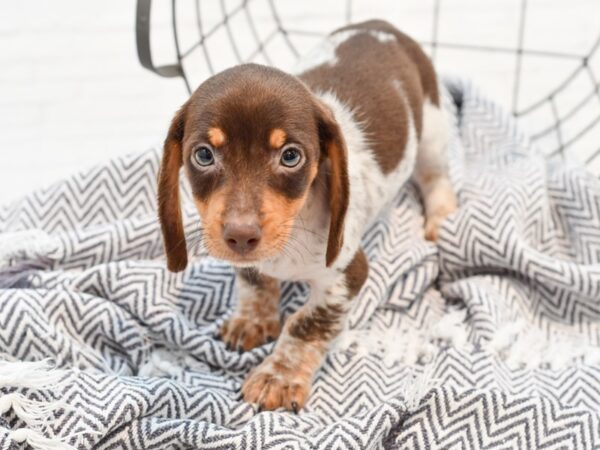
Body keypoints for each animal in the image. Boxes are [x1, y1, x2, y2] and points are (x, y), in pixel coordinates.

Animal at [157, 20, 458, 412]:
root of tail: (380, 24)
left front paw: (278, 377)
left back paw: (441, 216)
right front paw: (253, 319)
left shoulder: (345, 276)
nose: (241, 235)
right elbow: (254, 281)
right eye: (204, 155)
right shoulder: (251, 261)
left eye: (290, 156)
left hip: (432, 131)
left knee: (435, 176)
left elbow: (306, 324)